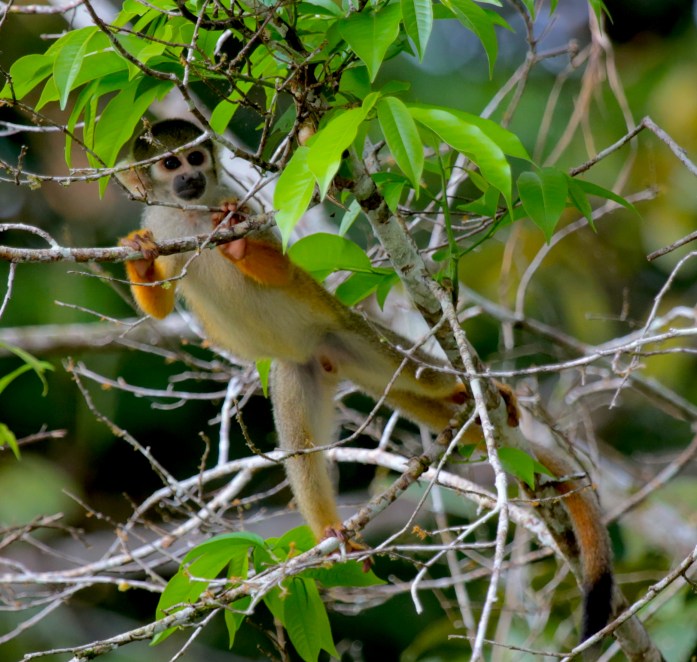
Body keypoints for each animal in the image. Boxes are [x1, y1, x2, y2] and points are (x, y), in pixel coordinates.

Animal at [117, 118, 613, 642]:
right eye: (170, 163)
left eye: (195, 158)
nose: (190, 178)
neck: (192, 216)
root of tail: (329, 353)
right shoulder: (165, 224)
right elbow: (160, 304)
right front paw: (140, 257)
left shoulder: (241, 203)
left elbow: (280, 265)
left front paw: (235, 244)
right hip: (301, 368)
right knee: (300, 444)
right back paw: (331, 531)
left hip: (351, 331)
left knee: (420, 374)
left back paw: (467, 389)